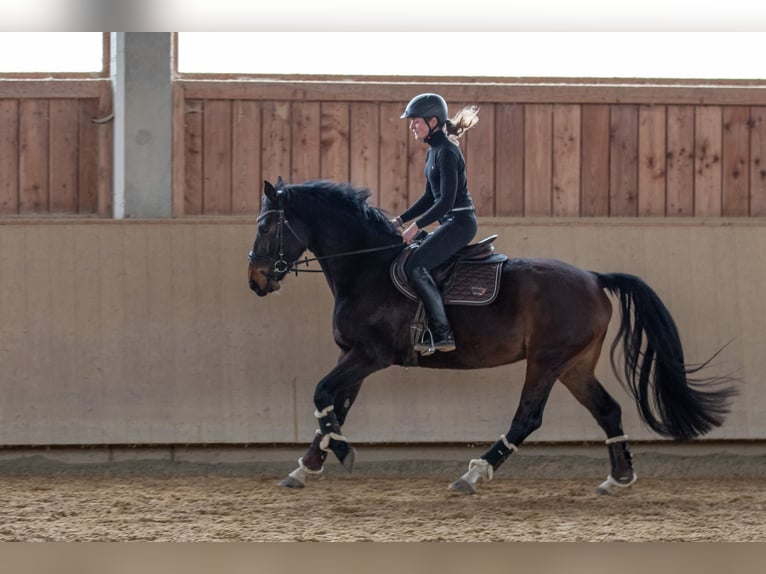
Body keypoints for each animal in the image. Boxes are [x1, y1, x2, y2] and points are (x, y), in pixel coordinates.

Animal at [246, 179, 736, 496]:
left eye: (266, 226)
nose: (255, 280)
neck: (368, 267)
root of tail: (595, 278)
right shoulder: (354, 356)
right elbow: (334, 407)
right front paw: (306, 468)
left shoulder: (371, 355)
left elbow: (322, 394)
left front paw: (341, 455)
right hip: (575, 364)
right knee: (608, 410)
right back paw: (618, 479)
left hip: (546, 360)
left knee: (527, 418)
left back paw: (474, 474)